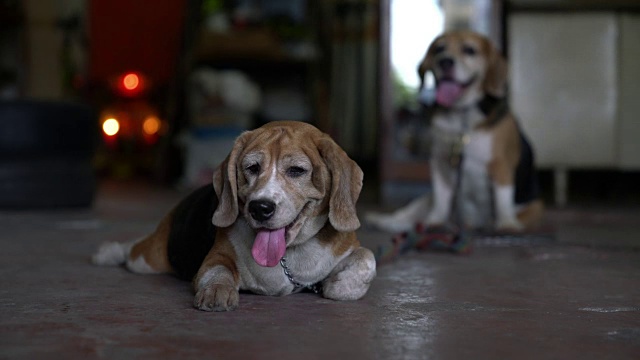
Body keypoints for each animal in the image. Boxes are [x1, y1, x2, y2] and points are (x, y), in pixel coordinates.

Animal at [92, 120, 378, 310]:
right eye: (252, 167)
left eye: (296, 170)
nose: (260, 208)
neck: (291, 254)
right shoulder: (216, 256)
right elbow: (219, 270)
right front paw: (217, 291)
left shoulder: (349, 245)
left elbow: (367, 258)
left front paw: (341, 286)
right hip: (149, 259)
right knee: (133, 249)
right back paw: (108, 252)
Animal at [368, 31, 544, 233]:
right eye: (439, 49)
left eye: (469, 50)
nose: (445, 62)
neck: (461, 116)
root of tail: (471, 223)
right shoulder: (440, 164)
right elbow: (441, 203)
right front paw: (434, 222)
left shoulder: (501, 165)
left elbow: (503, 200)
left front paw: (506, 224)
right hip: (424, 201)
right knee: (407, 219)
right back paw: (384, 221)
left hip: (535, 207)